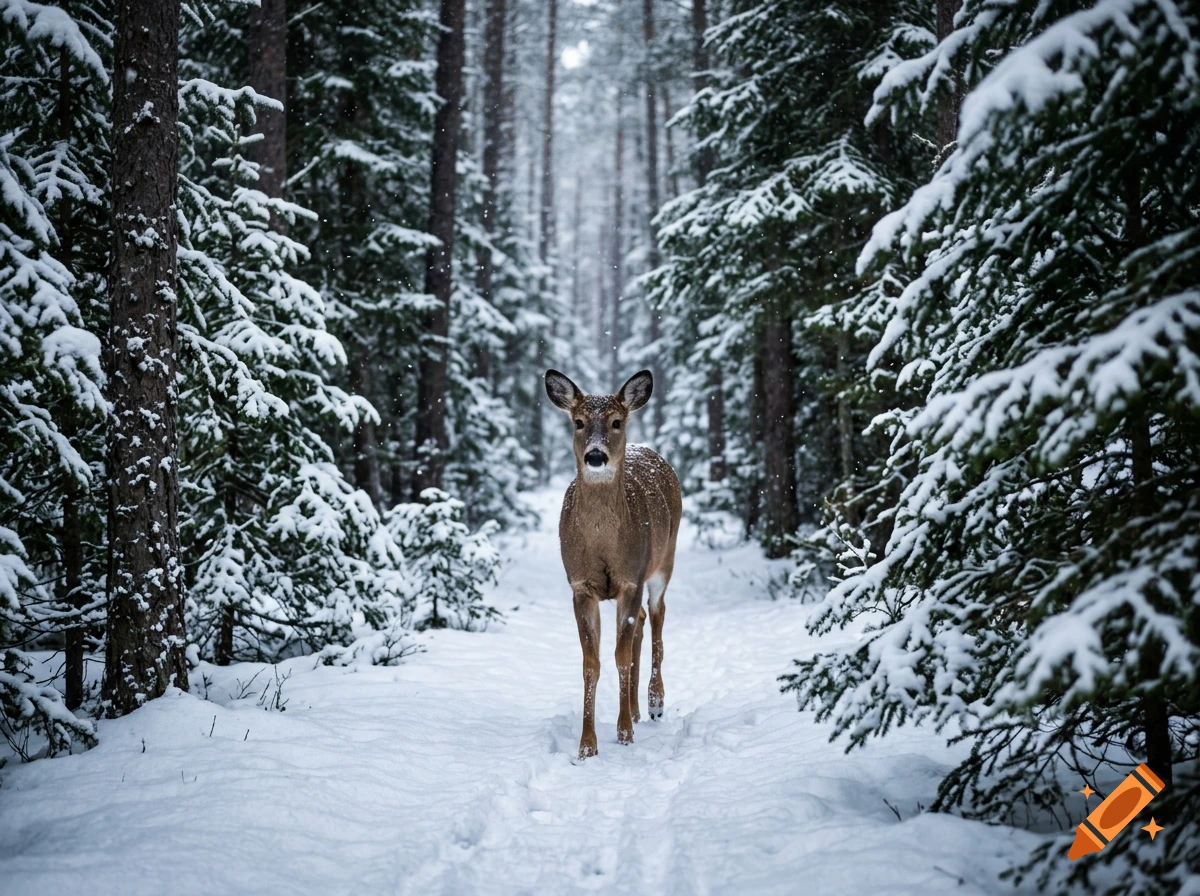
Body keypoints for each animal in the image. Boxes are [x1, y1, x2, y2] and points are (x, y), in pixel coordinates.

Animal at [544, 369, 682, 759]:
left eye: (616, 421)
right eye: (578, 422)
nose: (595, 455)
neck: (603, 543)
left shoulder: (630, 578)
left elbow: (621, 656)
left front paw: (623, 735)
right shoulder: (581, 585)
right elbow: (591, 663)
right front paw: (587, 746)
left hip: (664, 560)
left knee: (657, 618)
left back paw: (653, 703)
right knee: (644, 623)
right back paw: (635, 709)